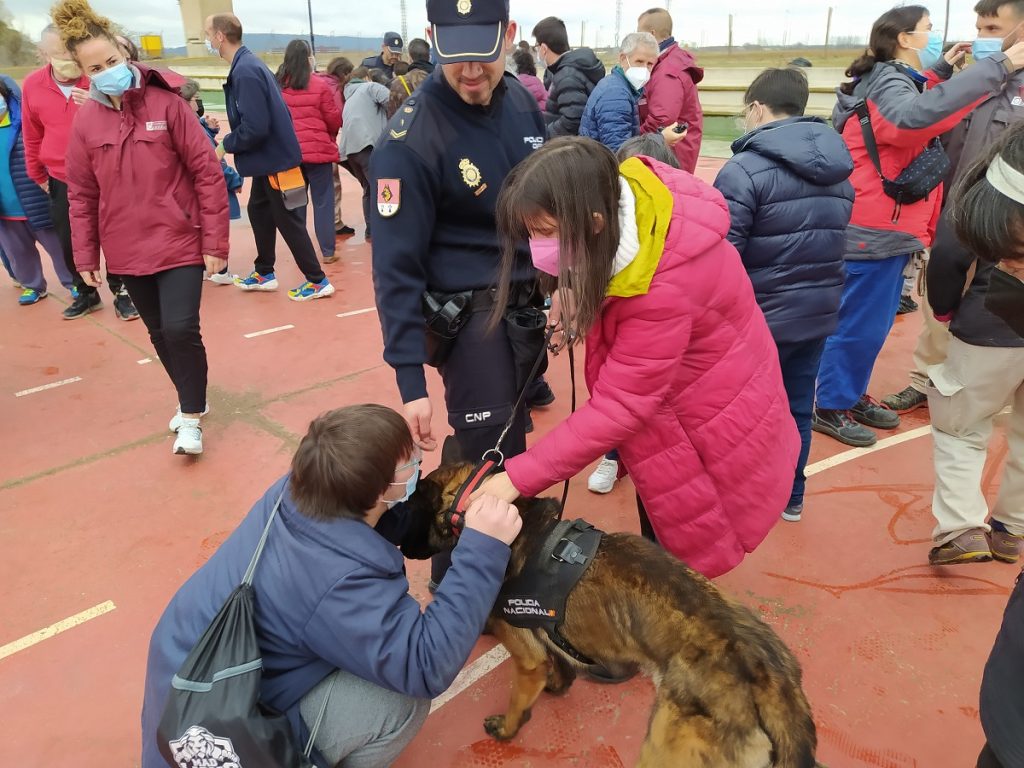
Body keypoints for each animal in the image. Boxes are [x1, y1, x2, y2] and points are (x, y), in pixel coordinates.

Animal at [399, 466, 823, 765]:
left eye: (412, 514)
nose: (402, 550)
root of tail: (770, 674)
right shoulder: (547, 632)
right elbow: (559, 661)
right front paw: (558, 686)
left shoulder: (526, 654)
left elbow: (521, 695)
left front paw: (507, 729)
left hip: (664, 750)